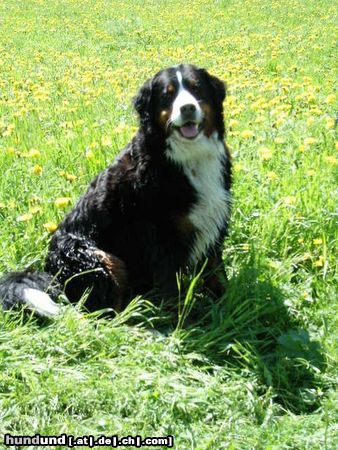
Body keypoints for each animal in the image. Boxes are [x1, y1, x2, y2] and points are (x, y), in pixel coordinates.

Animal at [0, 63, 231, 318]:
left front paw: (227, 306)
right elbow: (172, 291)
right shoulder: (160, 237)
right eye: (167, 95)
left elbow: (216, 274)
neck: (188, 158)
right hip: (99, 258)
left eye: (196, 88)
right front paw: (184, 320)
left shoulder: (213, 219)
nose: (187, 107)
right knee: (103, 314)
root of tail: (53, 273)